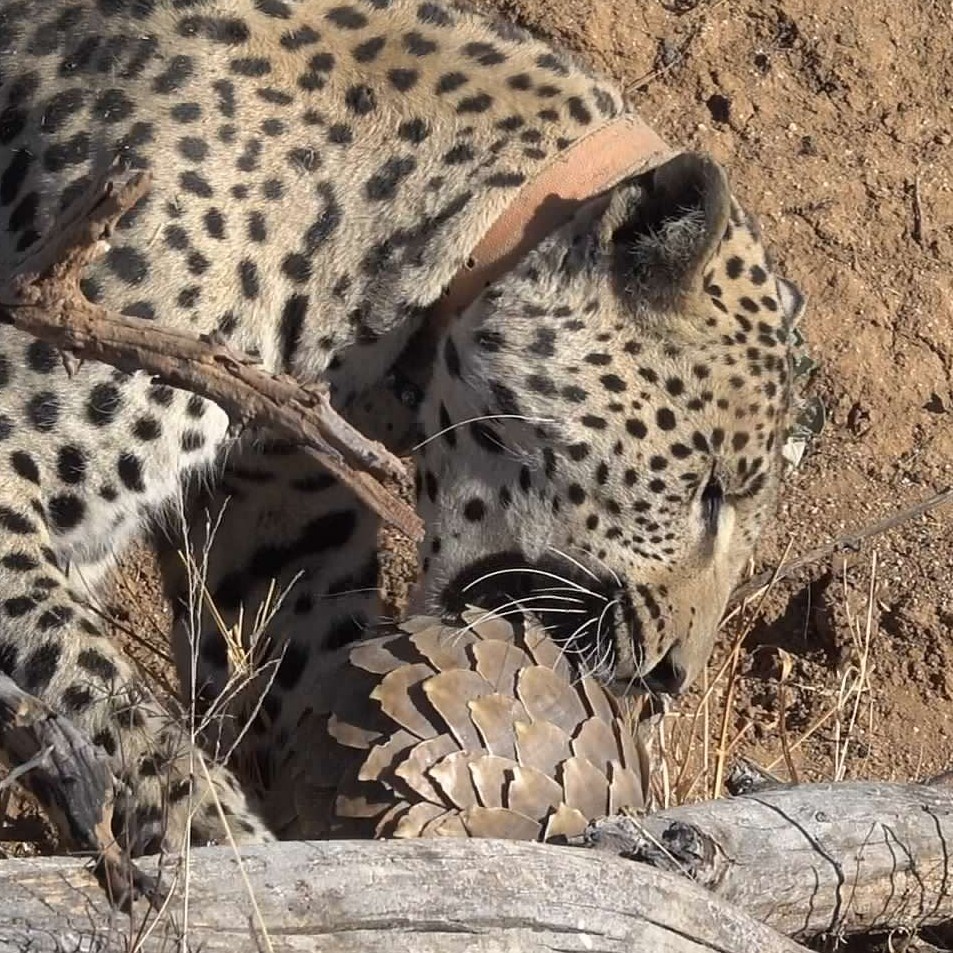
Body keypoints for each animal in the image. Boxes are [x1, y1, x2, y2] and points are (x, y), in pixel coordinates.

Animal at [0, 0, 804, 852]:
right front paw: (218, 840)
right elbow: (95, 686)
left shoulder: (282, 527)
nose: (668, 677)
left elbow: (303, 676)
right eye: (709, 490)